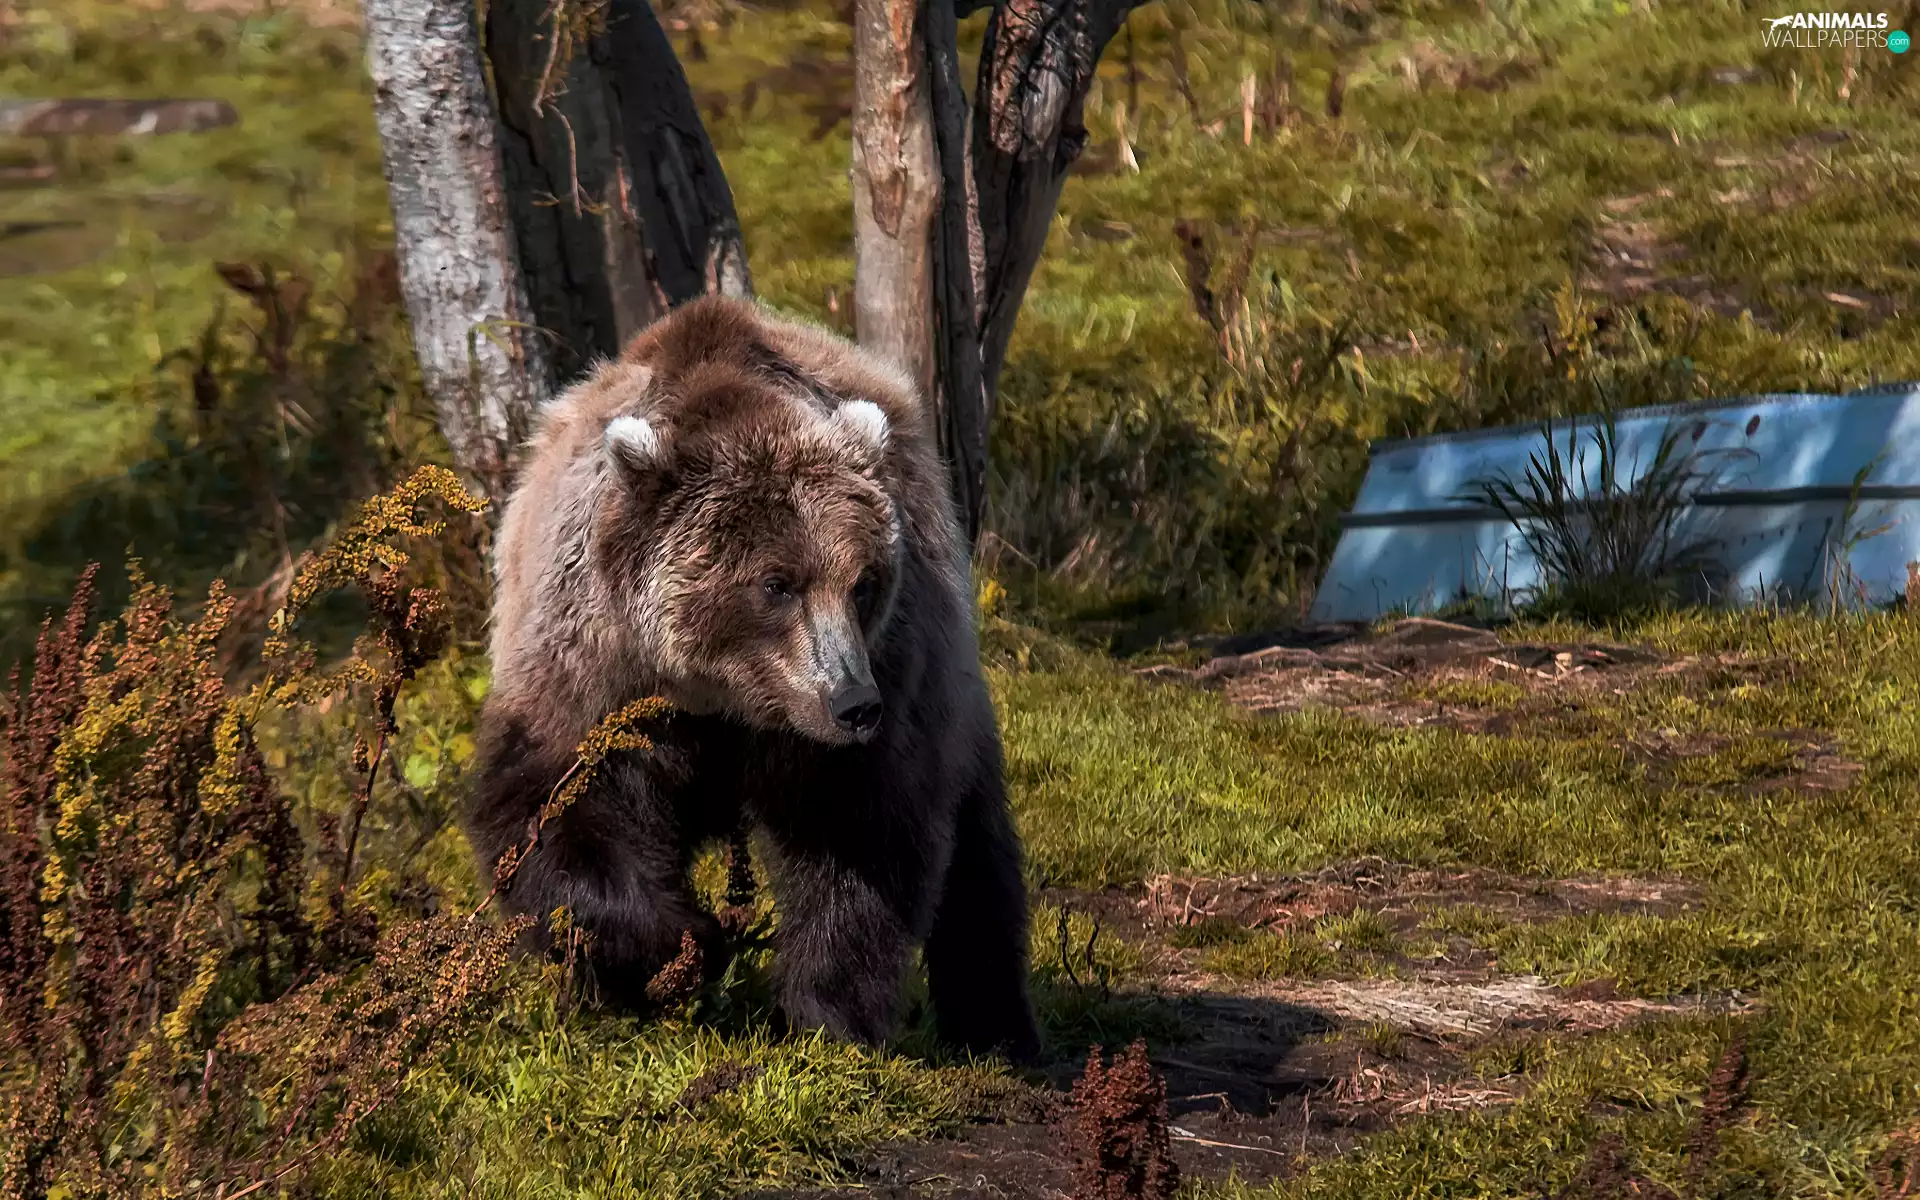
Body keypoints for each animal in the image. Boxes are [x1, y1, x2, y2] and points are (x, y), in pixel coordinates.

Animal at [466, 294, 1041, 1063]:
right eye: (776, 584)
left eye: (863, 583)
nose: (853, 703)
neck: (724, 694)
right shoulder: (596, 672)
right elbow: (556, 810)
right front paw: (688, 946)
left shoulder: (879, 679)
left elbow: (860, 839)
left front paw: (825, 1018)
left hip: (949, 686)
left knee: (979, 856)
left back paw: (998, 1030)